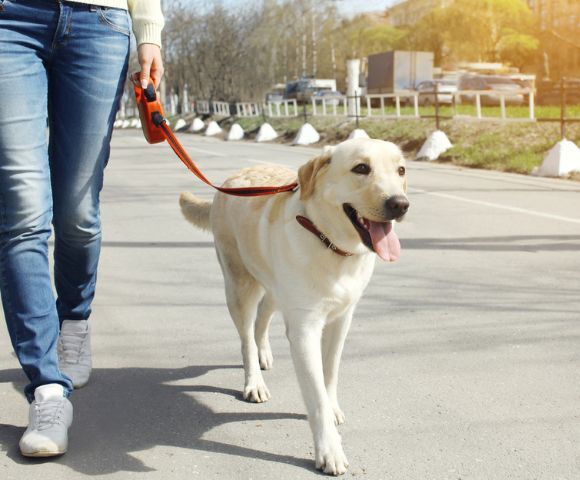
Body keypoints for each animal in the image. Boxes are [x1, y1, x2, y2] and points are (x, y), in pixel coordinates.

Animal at [179, 139, 410, 476]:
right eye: (361, 168)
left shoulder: (342, 319)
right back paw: (254, 381)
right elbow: (315, 396)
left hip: (275, 288)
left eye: (401, 170)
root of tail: (231, 180)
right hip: (239, 286)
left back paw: (263, 354)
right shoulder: (304, 330)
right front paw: (329, 450)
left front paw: (333, 406)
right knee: (246, 337)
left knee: (262, 319)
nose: (400, 204)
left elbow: (330, 374)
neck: (331, 244)